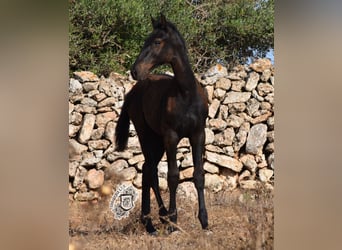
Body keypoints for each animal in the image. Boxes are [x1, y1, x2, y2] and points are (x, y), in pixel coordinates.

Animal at [115, 14, 208, 234]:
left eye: (157, 42)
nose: (135, 71)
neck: (186, 94)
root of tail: (132, 92)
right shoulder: (171, 136)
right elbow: (173, 176)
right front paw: (174, 220)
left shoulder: (198, 134)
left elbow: (199, 175)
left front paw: (204, 220)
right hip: (147, 135)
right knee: (150, 171)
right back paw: (158, 218)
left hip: (157, 141)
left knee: (148, 170)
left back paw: (152, 222)